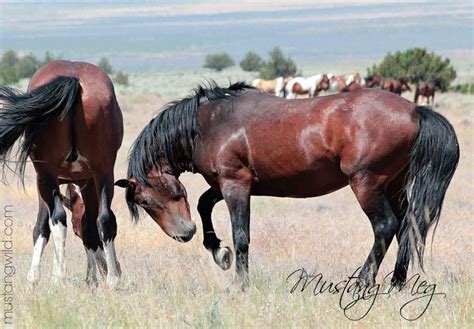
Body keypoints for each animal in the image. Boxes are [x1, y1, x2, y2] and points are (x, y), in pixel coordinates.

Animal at [0, 60, 124, 286]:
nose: (116, 268)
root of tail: (74, 79)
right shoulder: (88, 182)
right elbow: (90, 228)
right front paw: (93, 278)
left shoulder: (46, 181)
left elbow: (42, 226)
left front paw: (33, 277)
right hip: (104, 173)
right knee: (104, 218)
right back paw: (112, 279)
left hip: (46, 176)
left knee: (58, 218)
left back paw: (58, 276)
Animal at [115, 80, 460, 288]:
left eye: (145, 201)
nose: (184, 234)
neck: (209, 123)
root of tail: (415, 109)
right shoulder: (225, 183)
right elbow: (203, 204)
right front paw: (218, 252)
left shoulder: (235, 184)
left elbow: (241, 235)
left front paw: (241, 283)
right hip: (395, 184)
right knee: (407, 227)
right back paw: (397, 282)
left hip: (367, 184)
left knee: (386, 226)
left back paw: (362, 282)